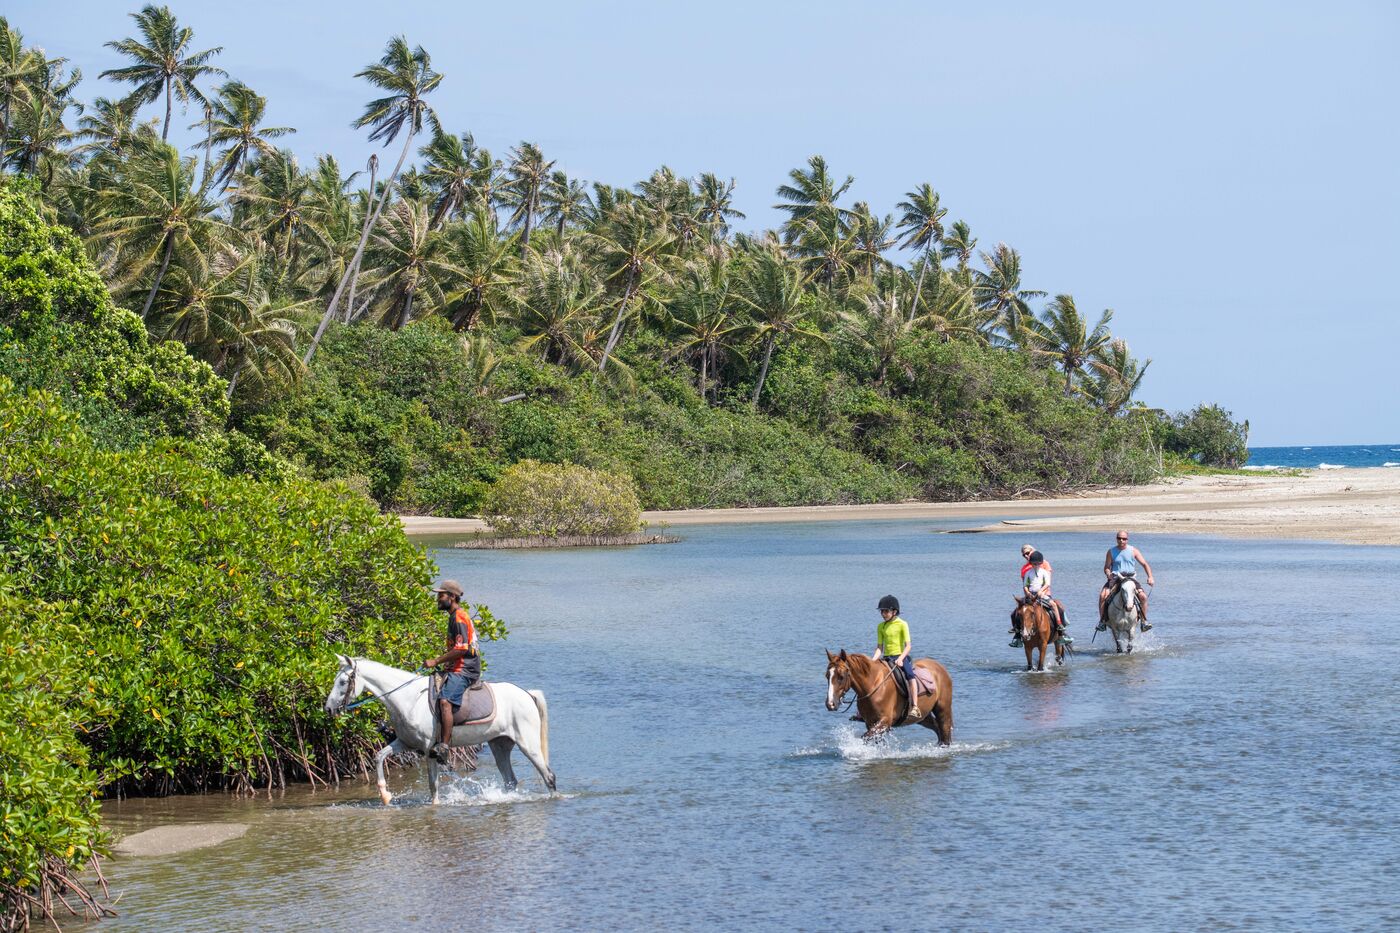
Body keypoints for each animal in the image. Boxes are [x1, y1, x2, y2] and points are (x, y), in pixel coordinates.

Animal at [324, 655, 556, 805]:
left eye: (343, 682)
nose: (328, 709)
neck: (408, 698)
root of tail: (527, 694)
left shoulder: (429, 750)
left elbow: (433, 785)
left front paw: (434, 805)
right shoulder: (405, 742)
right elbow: (380, 756)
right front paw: (385, 795)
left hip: (528, 744)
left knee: (549, 776)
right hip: (499, 744)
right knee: (510, 781)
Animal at [824, 649, 953, 744]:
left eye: (841, 677)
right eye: (827, 676)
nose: (830, 704)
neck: (873, 685)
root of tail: (940, 667)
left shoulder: (885, 721)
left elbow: (865, 738)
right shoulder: (870, 723)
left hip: (943, 709)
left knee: (945, 730)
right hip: (923, 716)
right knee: (937, 729)